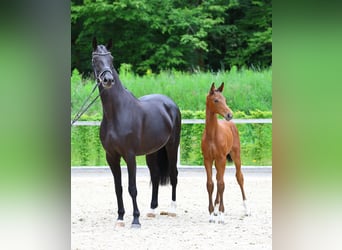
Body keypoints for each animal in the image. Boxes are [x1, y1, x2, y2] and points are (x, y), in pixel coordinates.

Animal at [91, 38, 182, 228]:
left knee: (173, 175)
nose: (108, 79)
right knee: (155, 175)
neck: (116, 113)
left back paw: (173, 209)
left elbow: (132, 188)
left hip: (172, 146)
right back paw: (152, 209)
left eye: (111, 59)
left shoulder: (130, 155)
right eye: (95, 60)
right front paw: (120, 217)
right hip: (153, 151)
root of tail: (170, 103)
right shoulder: (111, 156)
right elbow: (118, 188)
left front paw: (135, 220)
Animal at [202, 83, 250, 224]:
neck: (212, 135)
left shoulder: (222, 159)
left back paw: (246, 209)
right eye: (216, 100)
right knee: (218, 178)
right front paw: (211, 214)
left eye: (225, 99)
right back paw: (216, 209)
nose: (229, 115)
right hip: (217, 162)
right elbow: (211, 184)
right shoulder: (207, 160)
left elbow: (221, 184)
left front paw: (222, 215)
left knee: (239, 177)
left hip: (236, 156)